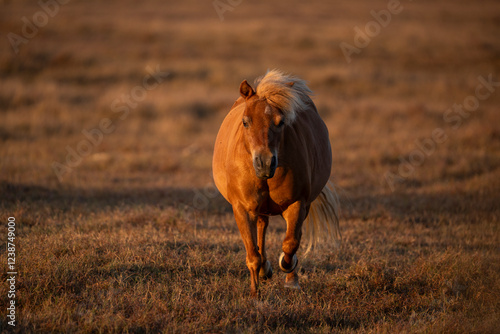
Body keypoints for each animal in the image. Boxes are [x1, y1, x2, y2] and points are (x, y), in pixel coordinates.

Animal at [211, 70, 340, 294]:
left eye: (281, 122)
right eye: (245, 122)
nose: (264, 163)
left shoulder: (297, 204)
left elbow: (290, 244)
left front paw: (289, 274)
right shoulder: (242, 209)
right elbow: (252, 254)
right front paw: (255, 293)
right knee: (262, 228)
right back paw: (264, 271)